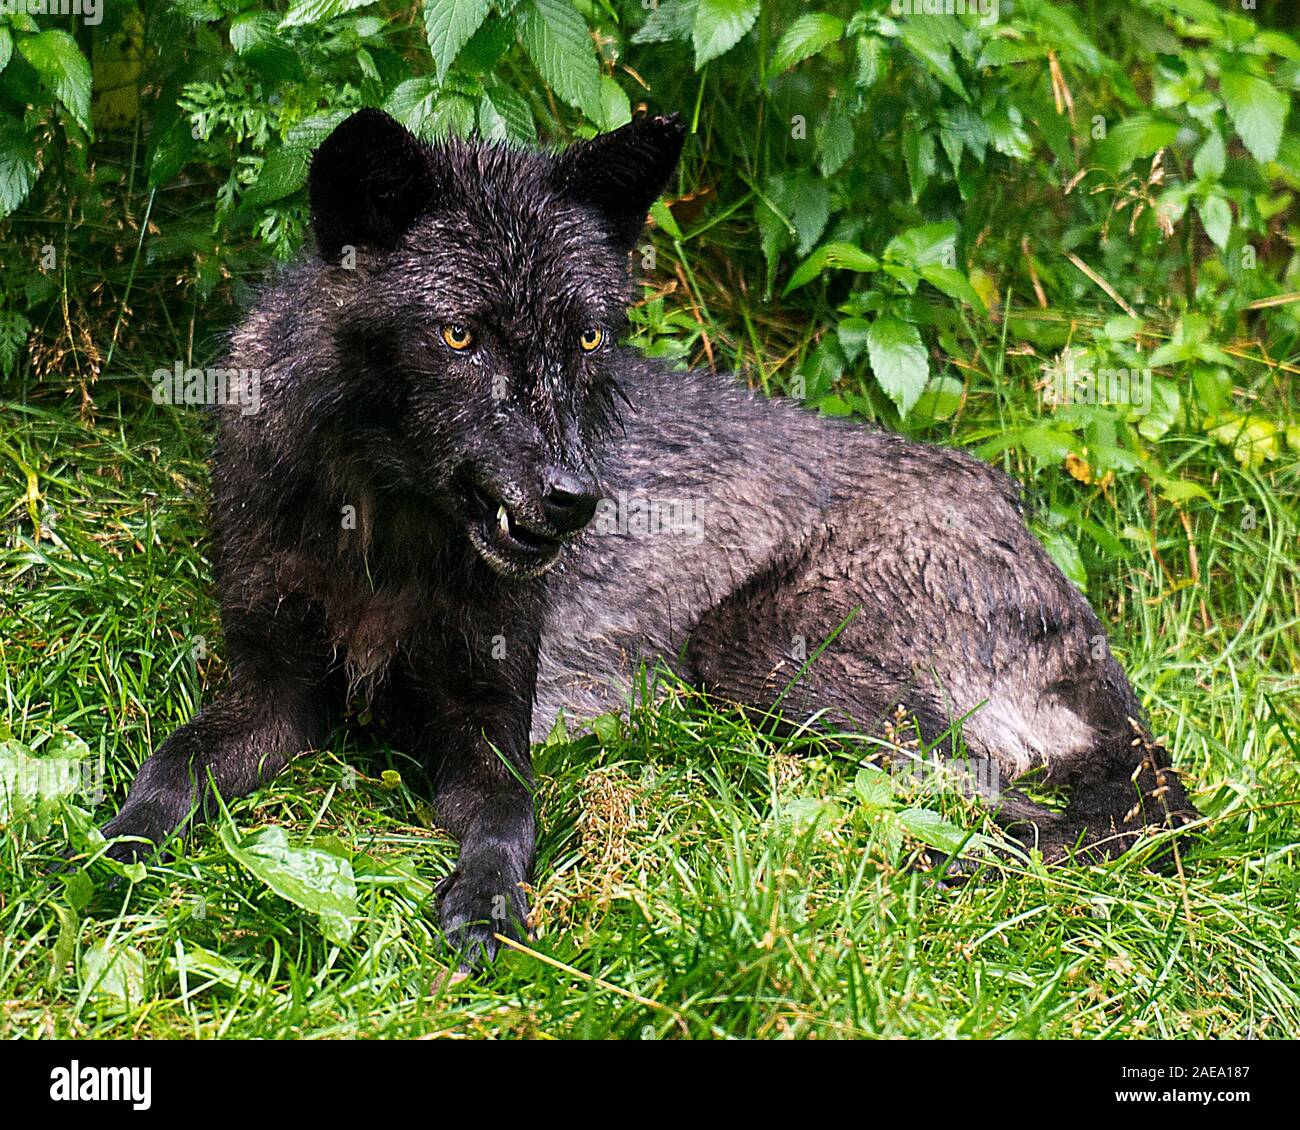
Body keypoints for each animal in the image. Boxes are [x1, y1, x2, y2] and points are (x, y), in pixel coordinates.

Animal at [101, 107, 1196, 962]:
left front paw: (487, 904)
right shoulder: (274, 688)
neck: (385, 537)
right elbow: (168, 768)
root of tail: (1018, 520)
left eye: (587, 336)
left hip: (760, 649)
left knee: (1019, 801)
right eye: (461, 336)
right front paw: (108, 855)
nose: (576, 498)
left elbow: (507, 823)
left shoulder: (490, 722)